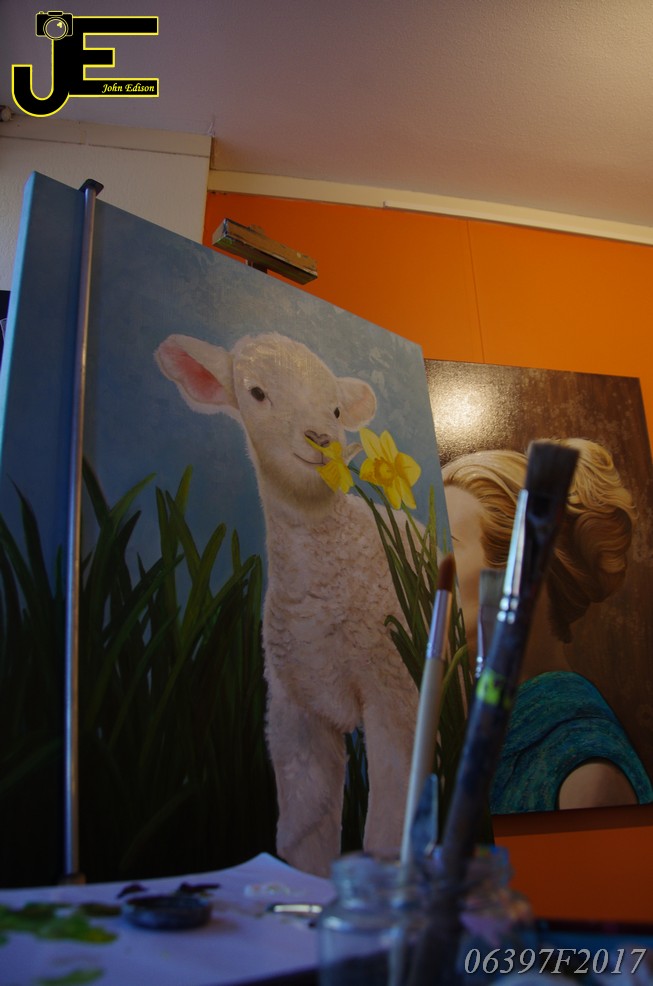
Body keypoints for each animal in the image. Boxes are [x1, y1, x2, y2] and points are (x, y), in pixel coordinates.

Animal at [155, 331, 419, 876]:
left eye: (337, 409)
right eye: (256, 392)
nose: (322, 438)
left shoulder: (394, 690)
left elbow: (389, 823)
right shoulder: (295, 713)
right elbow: (303, 830)